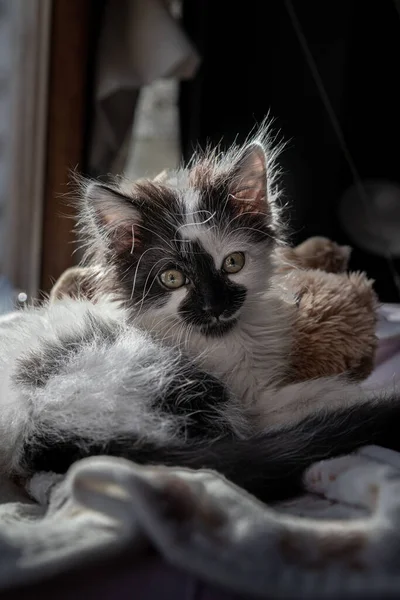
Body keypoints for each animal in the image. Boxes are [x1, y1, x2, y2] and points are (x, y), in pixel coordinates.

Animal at [2, 125, 400, 502]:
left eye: (233, 263)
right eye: (172, 278)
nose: (215, 306)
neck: (228, 342)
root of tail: (33, 427)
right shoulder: (256, 404)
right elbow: (328, 393)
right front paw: (374, 391)